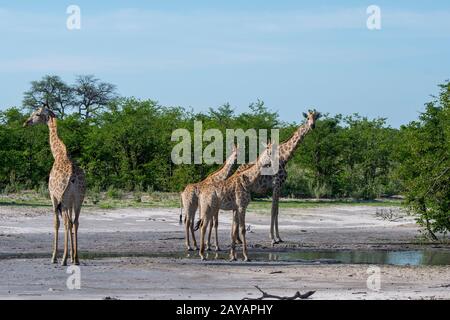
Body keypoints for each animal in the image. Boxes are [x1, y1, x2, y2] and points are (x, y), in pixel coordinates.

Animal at [23, 105, 86, 264]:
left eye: (37, 114)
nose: (26, 122)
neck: (58, 154)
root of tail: (72, 178)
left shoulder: (53, 195)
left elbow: (56, 222)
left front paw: (54, 257)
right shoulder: (70, 201)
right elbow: (71, 222)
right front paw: (72, 256)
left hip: (63, 199)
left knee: (66, 222)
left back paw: (63, 259)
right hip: (79, 199)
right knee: (75, 222)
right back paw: (76, 259)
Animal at [229, 110, 320, 245]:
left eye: (316, 118)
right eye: (307, 118)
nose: (312, 126)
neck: (285, 158)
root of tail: (236, 171)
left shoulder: (280, 186)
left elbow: (277, 210)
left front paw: (279, 237)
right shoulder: (276, 185)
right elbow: (273, 210)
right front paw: (272, 238)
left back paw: (238, 239)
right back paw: (237, 239)